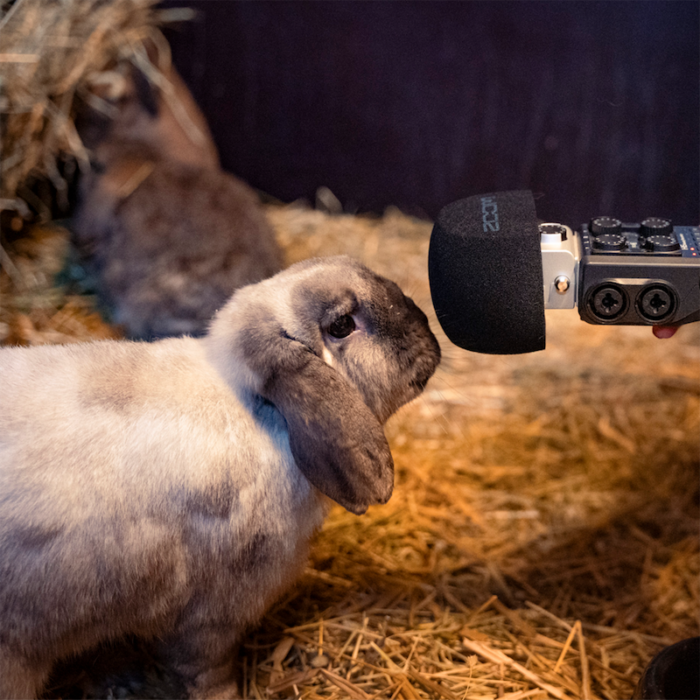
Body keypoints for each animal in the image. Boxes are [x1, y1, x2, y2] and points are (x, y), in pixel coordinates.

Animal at [0, 258, 440, 700]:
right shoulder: (213, 615)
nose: (429, 336)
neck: (261, 412)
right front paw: (227, 694)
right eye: (342, 324)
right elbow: (205, 670)